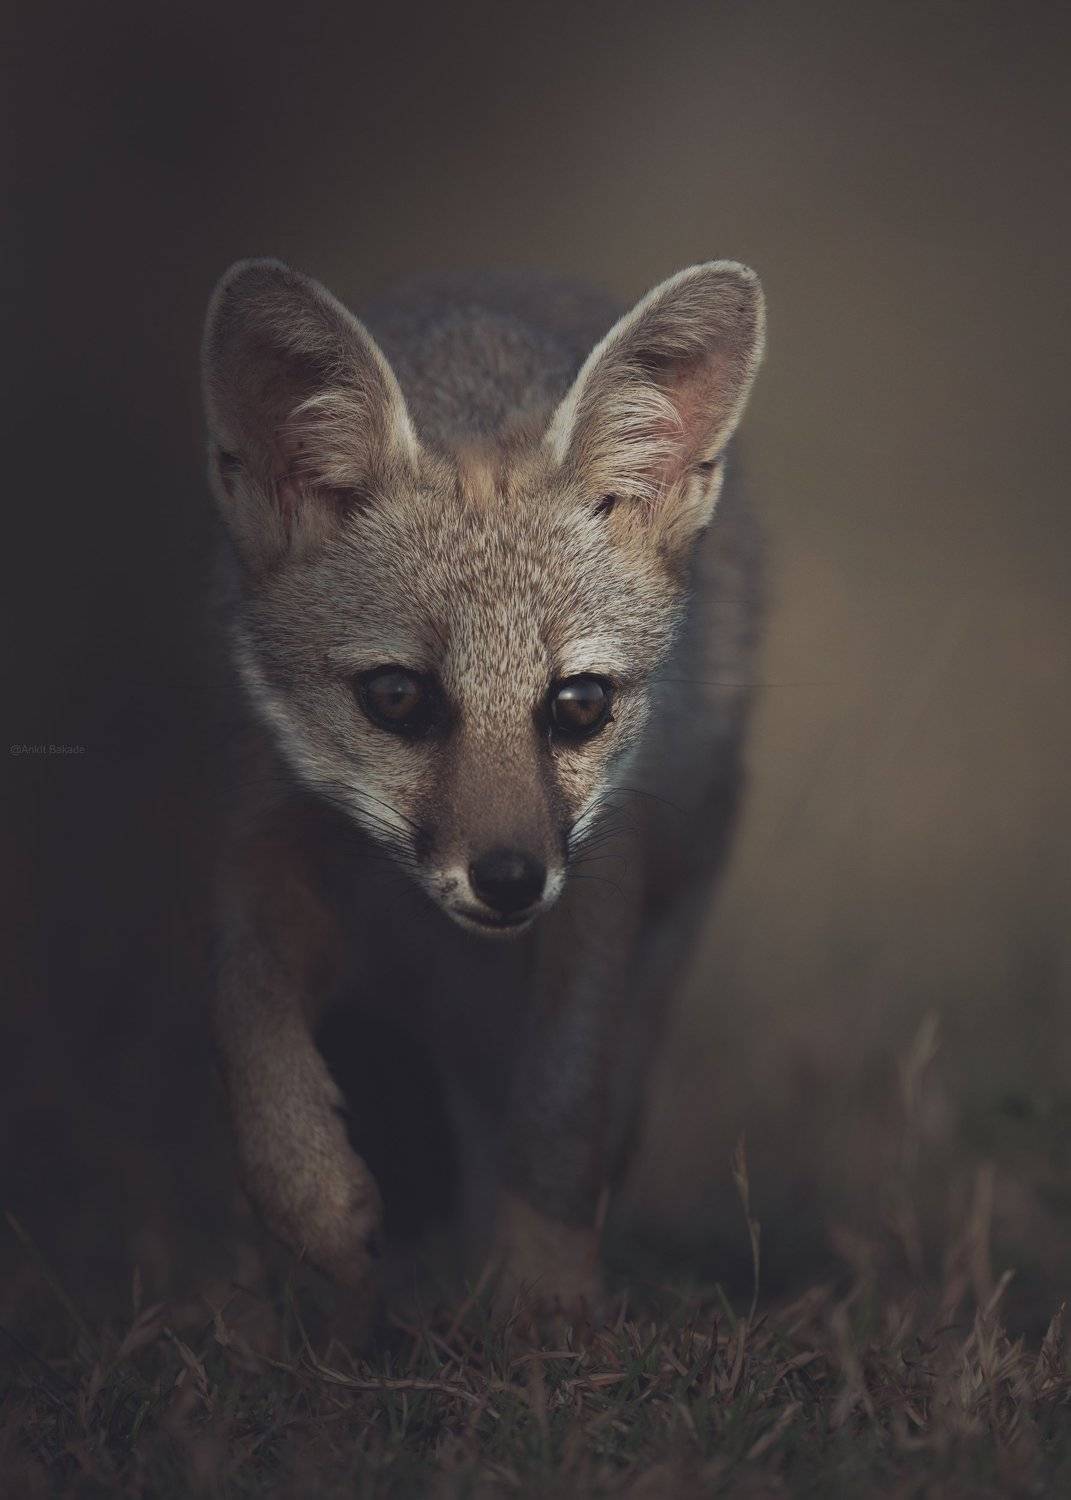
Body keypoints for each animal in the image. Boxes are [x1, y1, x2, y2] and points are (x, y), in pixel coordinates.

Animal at [200, 256, 765, 1324]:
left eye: (578, 705)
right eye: (395, 697)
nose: (507, 880)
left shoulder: (599, 875)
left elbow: (560, 1106)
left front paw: (545, 1298)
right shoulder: (263, 818)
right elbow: (248, 1014)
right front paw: (310, 1200)